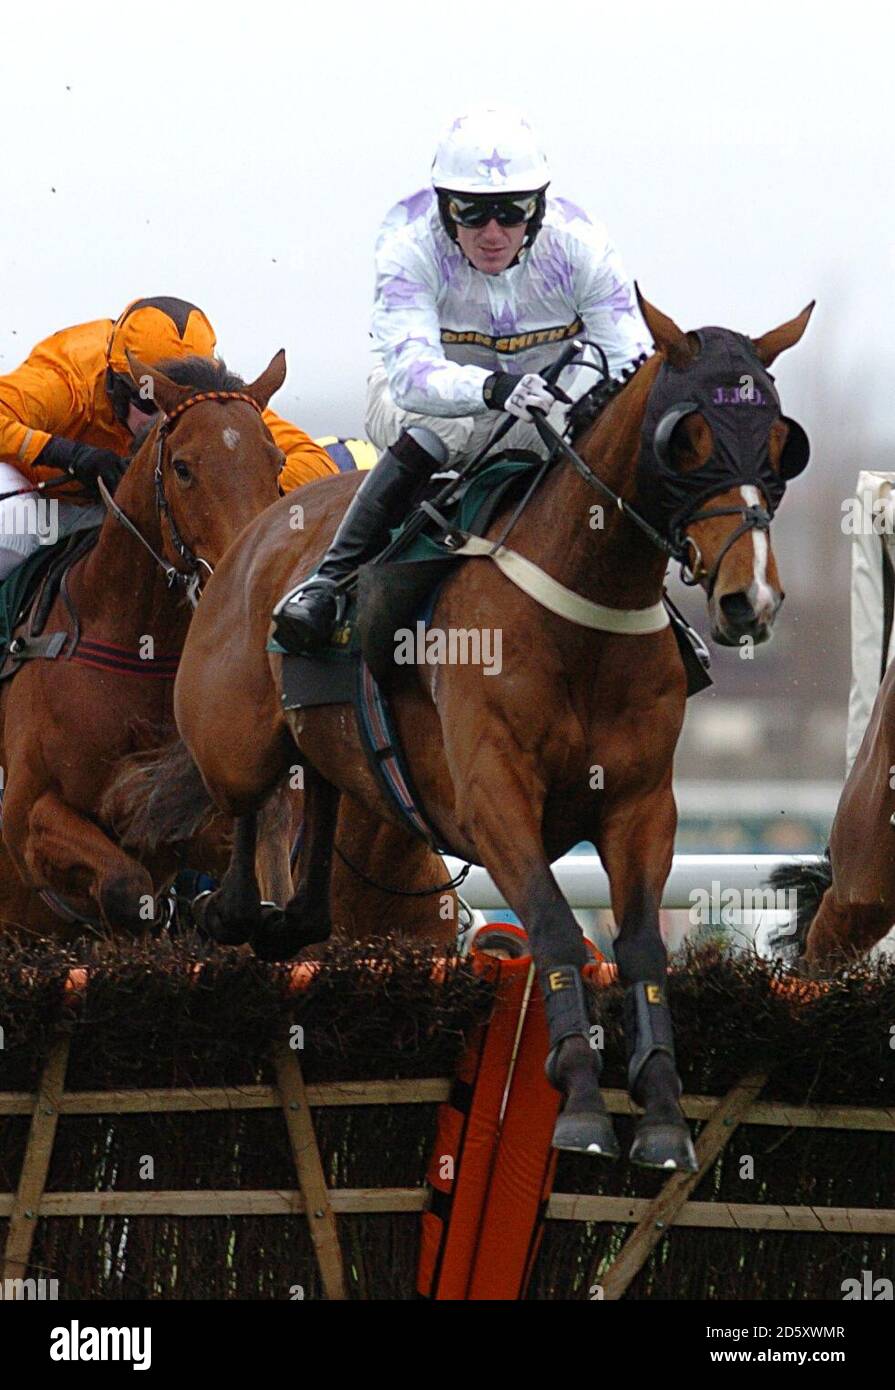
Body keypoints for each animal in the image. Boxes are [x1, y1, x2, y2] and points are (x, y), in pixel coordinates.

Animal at [166, 298, 811, 1167]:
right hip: (232, 736)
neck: (582, 606)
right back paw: (233, 905)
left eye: (779, 440)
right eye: (688, 439)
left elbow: (641, 947)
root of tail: (260, 527)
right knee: (245, 809)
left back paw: (292, 914)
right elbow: (555, 929)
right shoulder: (492, 794)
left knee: (322, 807)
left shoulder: (642, 804)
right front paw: (579, 1103)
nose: (752, 599)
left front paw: (662, 1114)